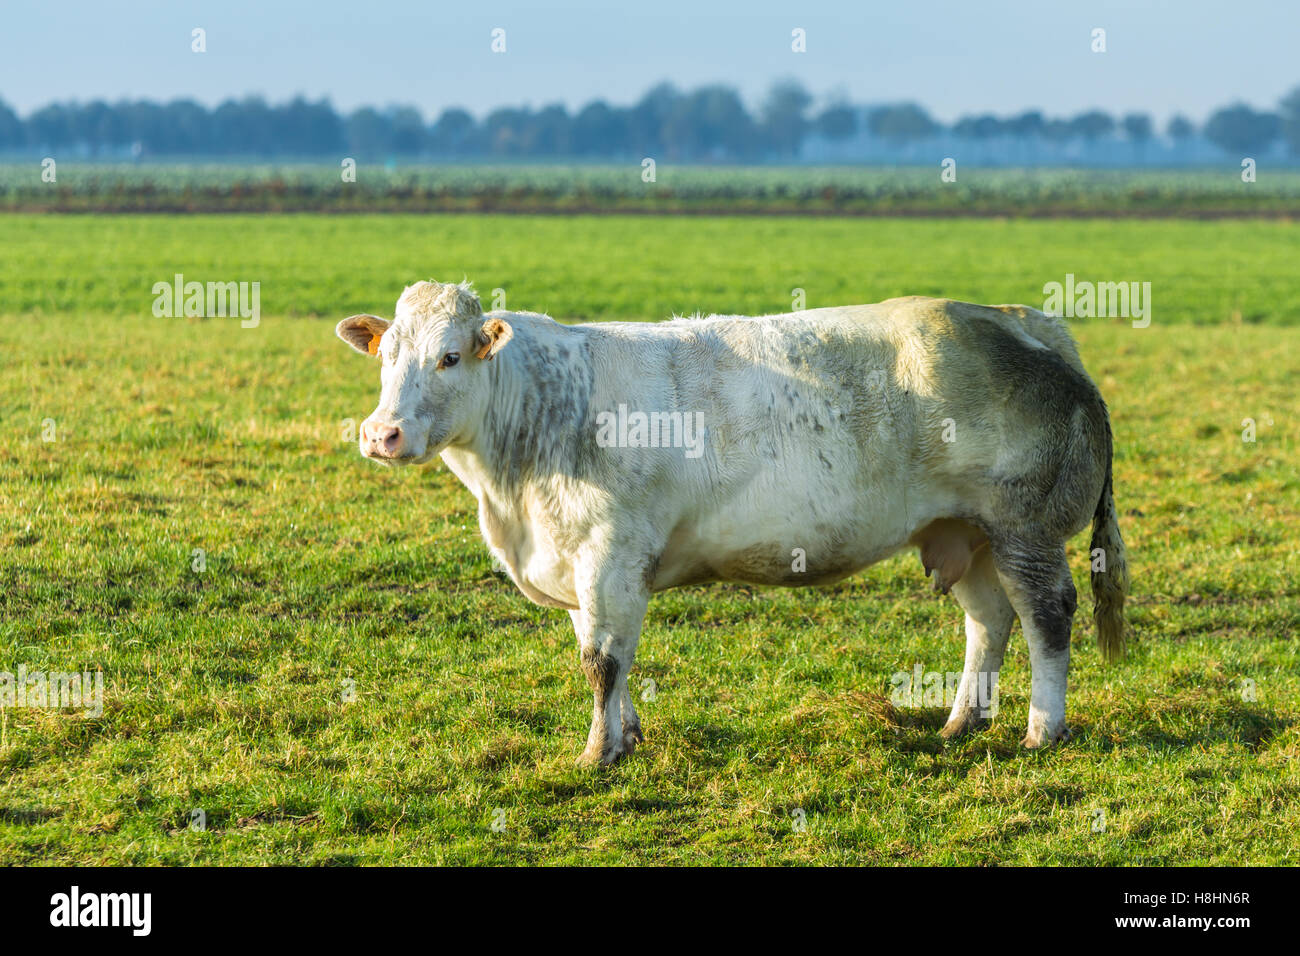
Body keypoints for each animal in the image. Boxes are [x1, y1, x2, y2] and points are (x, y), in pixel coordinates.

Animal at [335, 280, 1128, 764]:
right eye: (385, 357)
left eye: (449, 357)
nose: (382, 434)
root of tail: (1021, 321)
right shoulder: (585, 562)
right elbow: (610, 655)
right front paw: (627, 735)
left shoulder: (609, 554)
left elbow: (602, 660)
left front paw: (596, 753)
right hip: (963, 531)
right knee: (989, 620)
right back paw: (963, 720)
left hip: (1025, 529)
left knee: (1047, 616)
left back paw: (1042, 731)